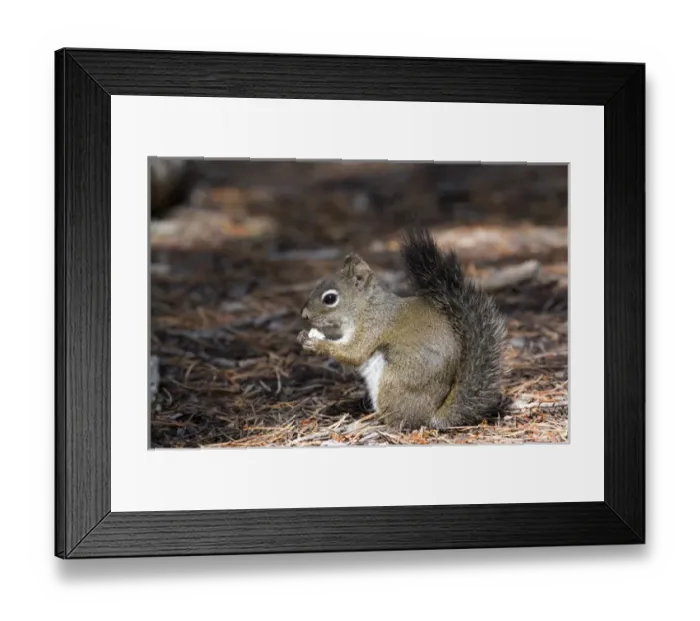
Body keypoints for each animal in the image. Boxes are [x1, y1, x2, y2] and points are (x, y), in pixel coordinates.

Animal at [297, 228, 508, 429]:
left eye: (330, 298)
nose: (304, 315)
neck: (365, 307)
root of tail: (432, 416)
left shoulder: (375, 326)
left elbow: (354, 352)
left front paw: (316, 343)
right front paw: (302, 336)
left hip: (393, 382)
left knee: (401, 421)